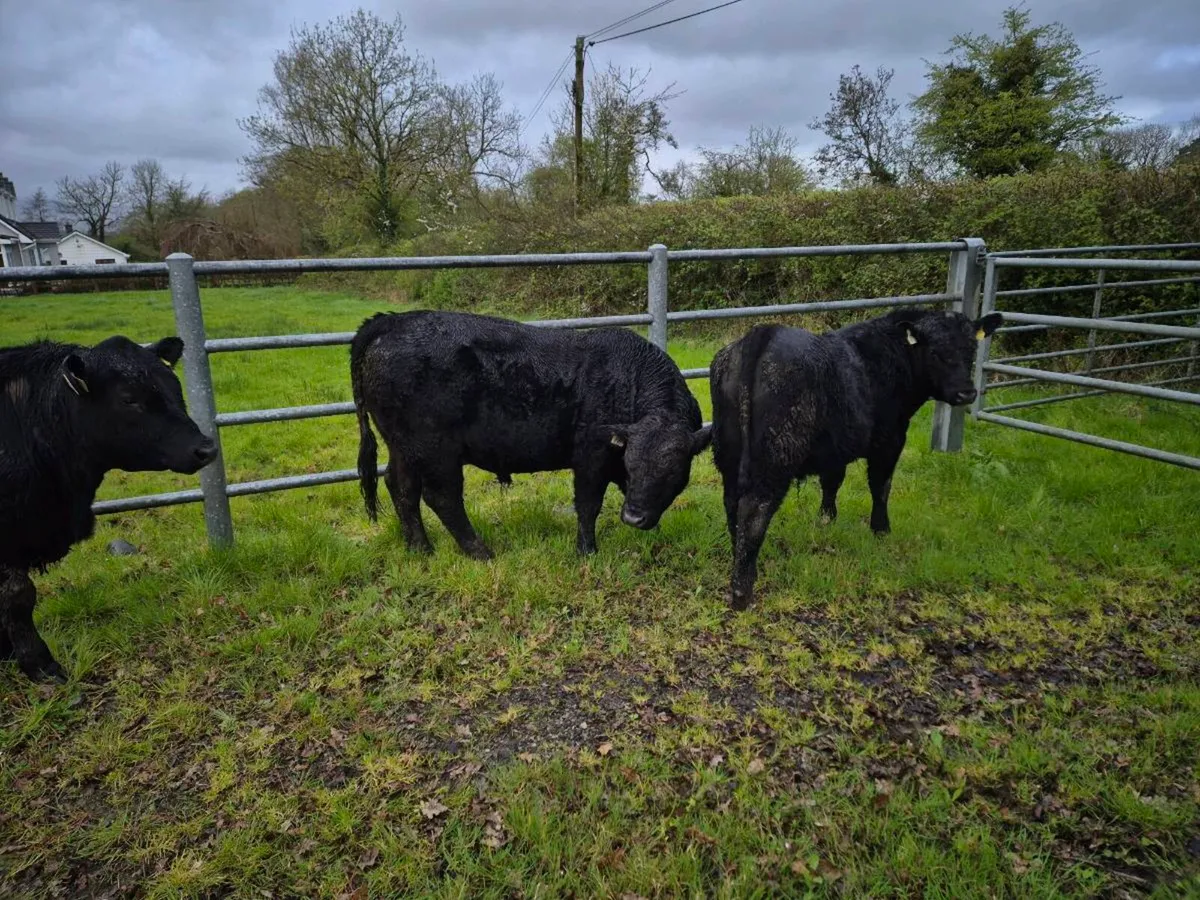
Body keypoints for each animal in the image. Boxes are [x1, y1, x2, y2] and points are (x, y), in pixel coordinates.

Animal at [350, 310, 712, 559]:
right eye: (634, 464)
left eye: (671, 471)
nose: (633, 517)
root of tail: (392, 321)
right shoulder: (590, 457)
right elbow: (588, 505)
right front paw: (587, 552)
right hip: (436, 450)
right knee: (442, 498)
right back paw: (480, 552)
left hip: (403, 445)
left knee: (401, 488)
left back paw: (420, 549)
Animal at [710, 307, 1003, 610]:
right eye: (935, 352)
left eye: (971, 349)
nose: (967, 392)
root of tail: (764, 334)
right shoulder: (891, 440)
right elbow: (881, 486)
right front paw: (881, 529)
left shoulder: (835, 449)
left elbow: (832, 482)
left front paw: (826, 519)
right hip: (775, 459)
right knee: (754, 511)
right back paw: (743, 591)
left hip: (729, 454)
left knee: (732, 504)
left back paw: (741, 558)